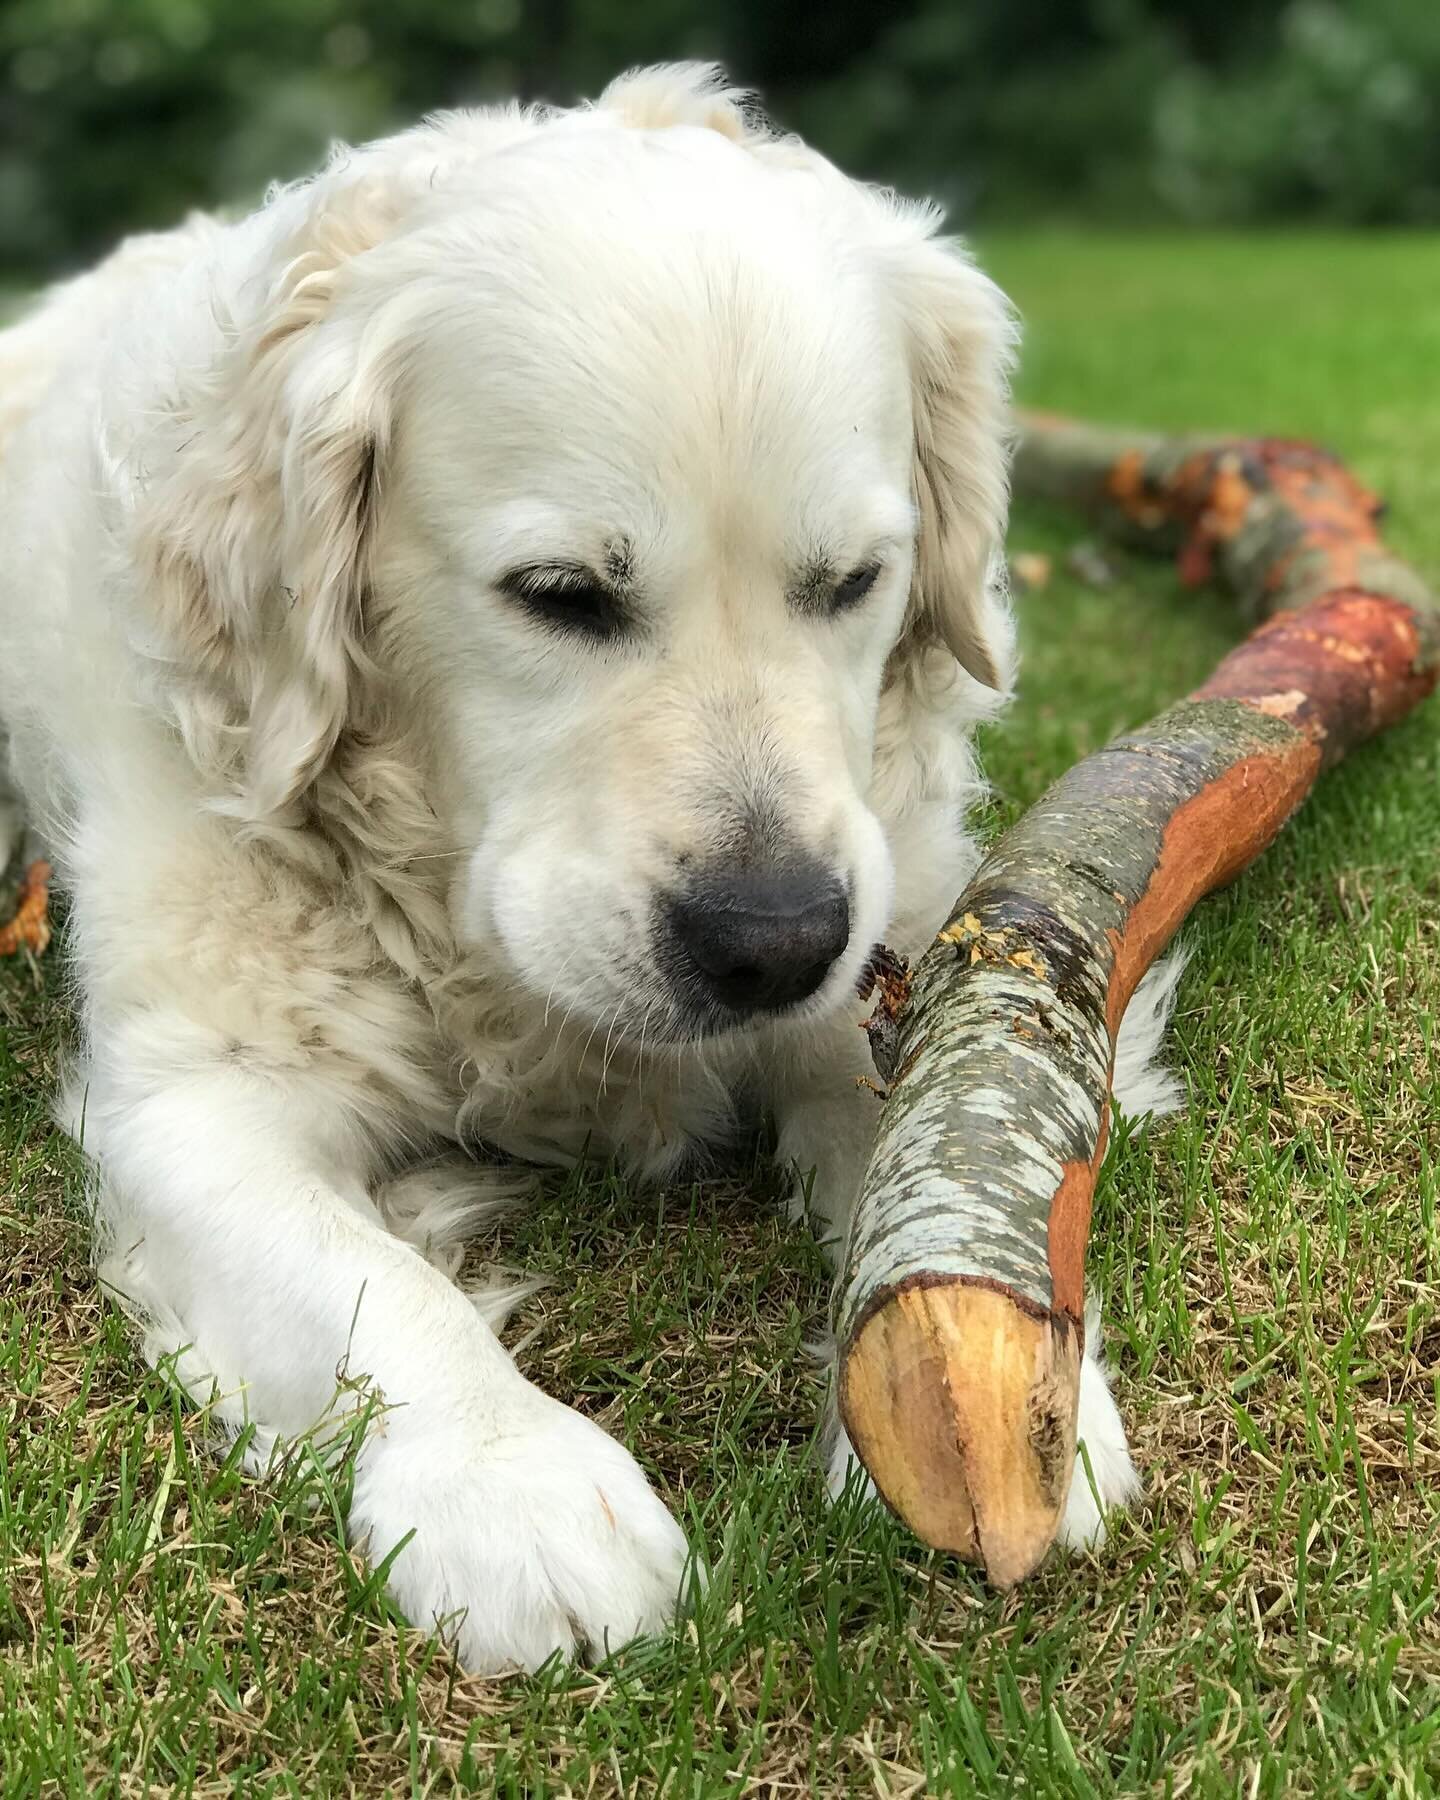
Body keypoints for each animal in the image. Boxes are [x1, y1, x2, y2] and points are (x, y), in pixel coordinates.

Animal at [0, 66, 1166, 1670]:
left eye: (854, 583)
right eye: (559, 596)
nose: (773, 938)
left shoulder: (884, 961)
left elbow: (926, 1145)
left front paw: (1029, 1398)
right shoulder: (193, 1098)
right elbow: (369, 1282)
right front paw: (519, 1481)